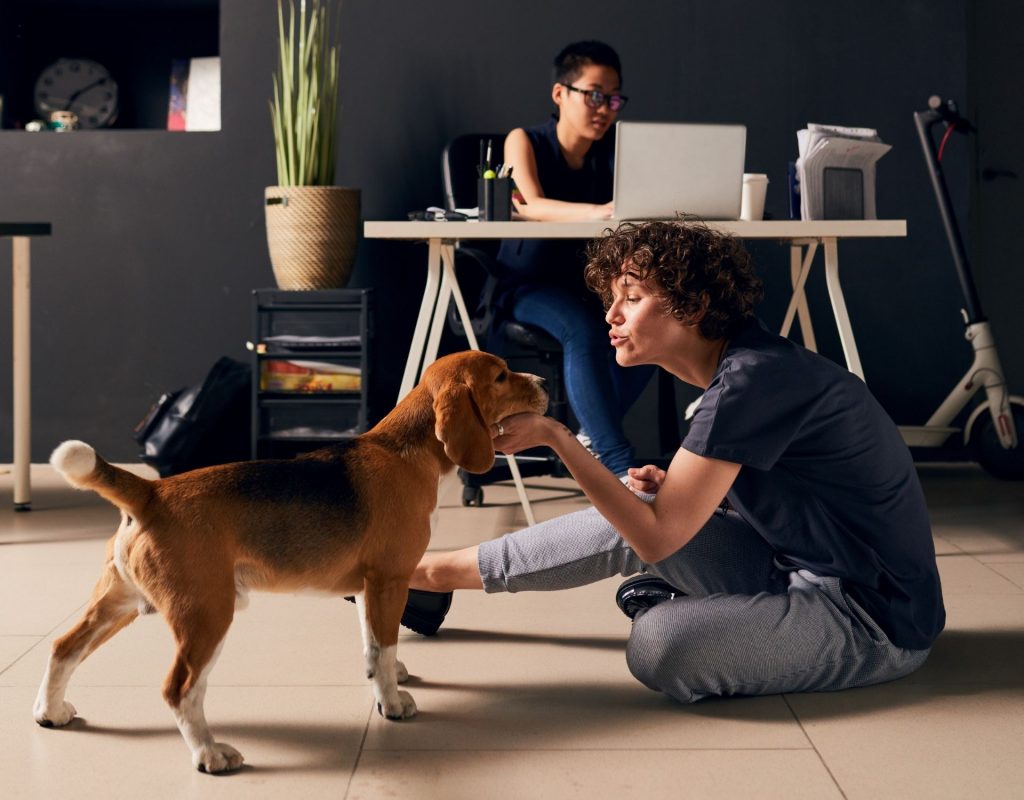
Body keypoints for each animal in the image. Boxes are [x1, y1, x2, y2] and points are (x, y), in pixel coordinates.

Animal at [32, 350, 548, 774]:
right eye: (501, 376)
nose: (544, 380)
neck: (407, 450)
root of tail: (152, 492)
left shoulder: (367, 587)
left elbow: (374, 645)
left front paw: (388, 679)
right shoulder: (389, 580)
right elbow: (383, 646)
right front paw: (392, 703)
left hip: (118, 603)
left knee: (62, 648)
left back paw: (50, 712)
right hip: (207, 614)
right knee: (179, 689)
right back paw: (210, 754)